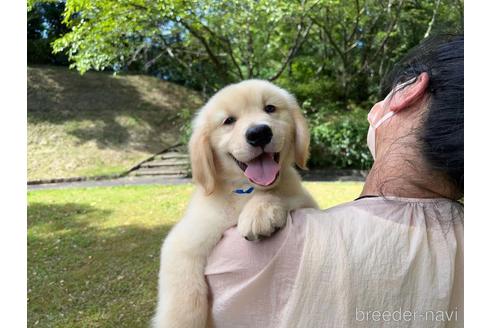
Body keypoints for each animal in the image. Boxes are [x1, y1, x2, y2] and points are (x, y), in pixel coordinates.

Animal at [152, 80, 318, 328]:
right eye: (228, 121)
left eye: (270, 108)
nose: (259, 133)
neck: (244, 189)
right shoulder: (185, 239)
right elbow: (182, 299)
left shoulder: (303, 199)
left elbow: (277, 191)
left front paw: (260, 211)